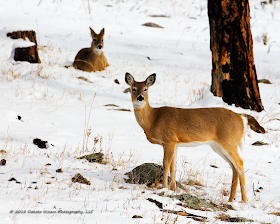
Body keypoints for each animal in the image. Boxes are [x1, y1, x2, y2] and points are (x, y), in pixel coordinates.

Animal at [126, 72, 266, 203]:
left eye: (145, 89)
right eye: (133, 88)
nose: (140, 98)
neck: (153, 119)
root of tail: (241, 118)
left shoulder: (169, 139)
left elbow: (165, 164)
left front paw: (164, 188)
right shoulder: (175, 143)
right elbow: (173, 166)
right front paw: (173, 189)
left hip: (228, 141)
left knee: (240, 163)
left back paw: (244, 200)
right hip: (219, 146)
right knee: (234, 167)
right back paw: (231, 199)